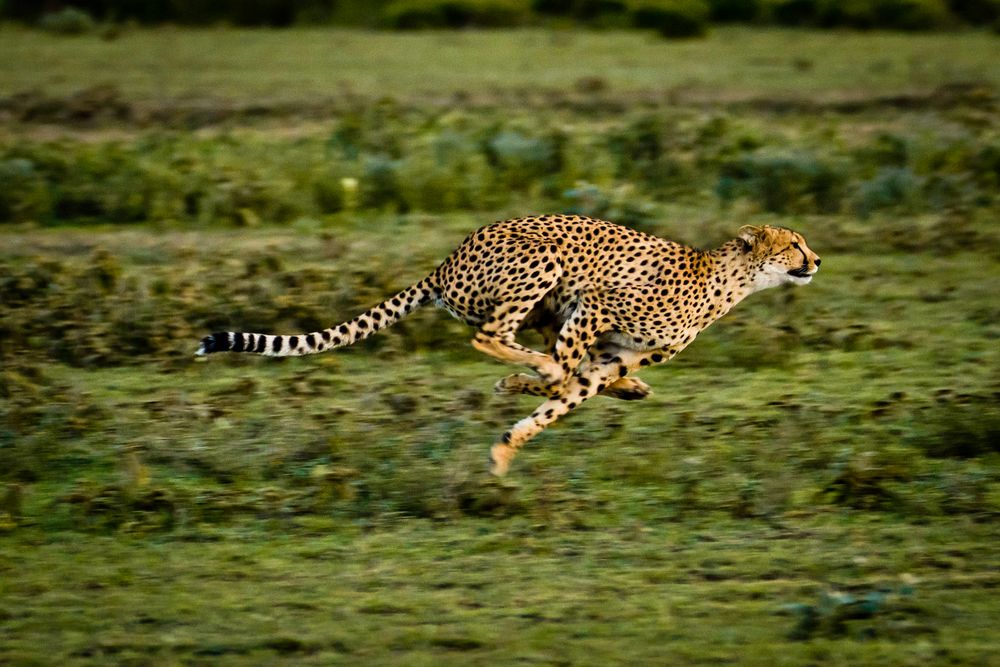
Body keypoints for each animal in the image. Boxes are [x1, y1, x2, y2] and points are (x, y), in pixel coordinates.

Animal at [197, 214, 820, 474]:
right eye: (792, 243)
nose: (816, 260)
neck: (728, 280)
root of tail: (445, 262)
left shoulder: (612, 353)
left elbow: (566, 399)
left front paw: (505, 447)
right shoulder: (596, 303)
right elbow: (566, 374)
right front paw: (532, 386)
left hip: (544, 298)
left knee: (532, 345)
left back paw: (609, 385)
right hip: (543, 262)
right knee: (491, 336)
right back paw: (535, 369)